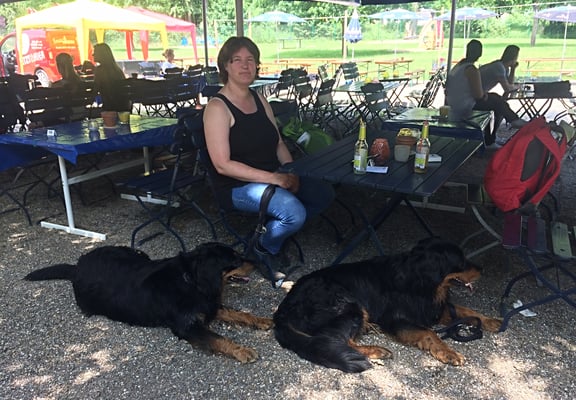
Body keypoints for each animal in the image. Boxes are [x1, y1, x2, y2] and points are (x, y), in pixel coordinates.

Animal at [25, 242, 272, 363]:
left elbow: (239, 313)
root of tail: (77, 266)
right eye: (236, 260)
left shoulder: (208, 305)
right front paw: (242, 350)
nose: (259, 262)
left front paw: (261, 320)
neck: (190, 279)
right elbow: (220, 339)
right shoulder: (188, 326)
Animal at [273, 238, 502, 373]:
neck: (418, 278)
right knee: (337, 341)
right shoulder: (396, 319)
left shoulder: (432, 307)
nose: (482, 269)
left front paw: (491, 320)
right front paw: (449, 352)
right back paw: (376, 351)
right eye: (461, 261)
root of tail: (283, 310)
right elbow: (430, 333)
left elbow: (466, 311)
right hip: (347, 304)